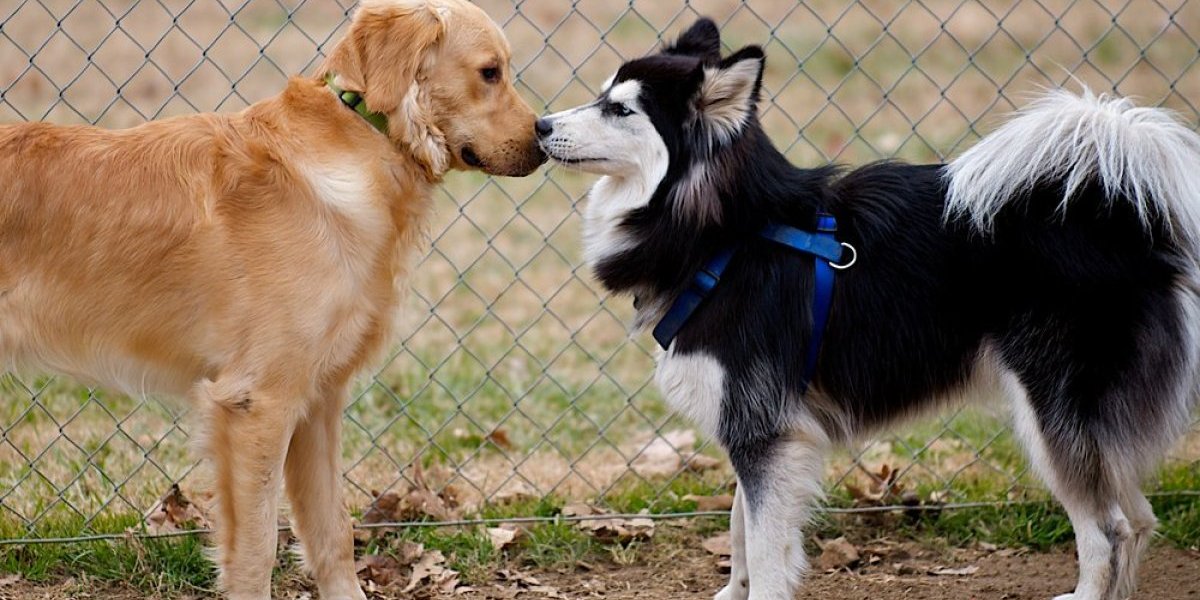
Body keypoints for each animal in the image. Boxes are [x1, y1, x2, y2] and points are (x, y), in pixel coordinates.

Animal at [0, 2, 544, 597]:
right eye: (490, 72)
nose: (544, 142)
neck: (364, 140)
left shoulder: (319, 401)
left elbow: (333, 533)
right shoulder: (257, 402)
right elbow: (258, 547)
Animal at [540, 17, 1200, 600]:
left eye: (622, 109)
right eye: (601, 93)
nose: (542, 124)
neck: (729, 234)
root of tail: (1118, 215)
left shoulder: (763, 429)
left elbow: (763, 542)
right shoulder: (763, 427)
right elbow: (740, 530)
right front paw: (733, 592)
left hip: (1052, 412)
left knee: (1108, 530)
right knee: (1138, 518)